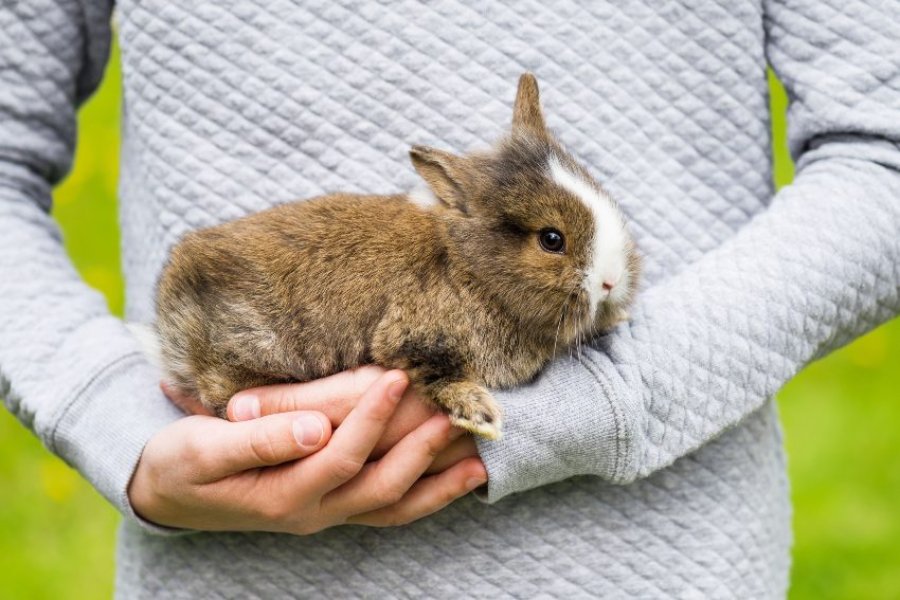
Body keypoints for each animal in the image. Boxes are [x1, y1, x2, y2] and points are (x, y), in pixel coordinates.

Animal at [149, 76, 640, 440]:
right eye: (551, 239)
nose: (611, 281)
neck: (468, 267)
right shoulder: (414, 337)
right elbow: (440, 375)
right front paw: (480, 417)